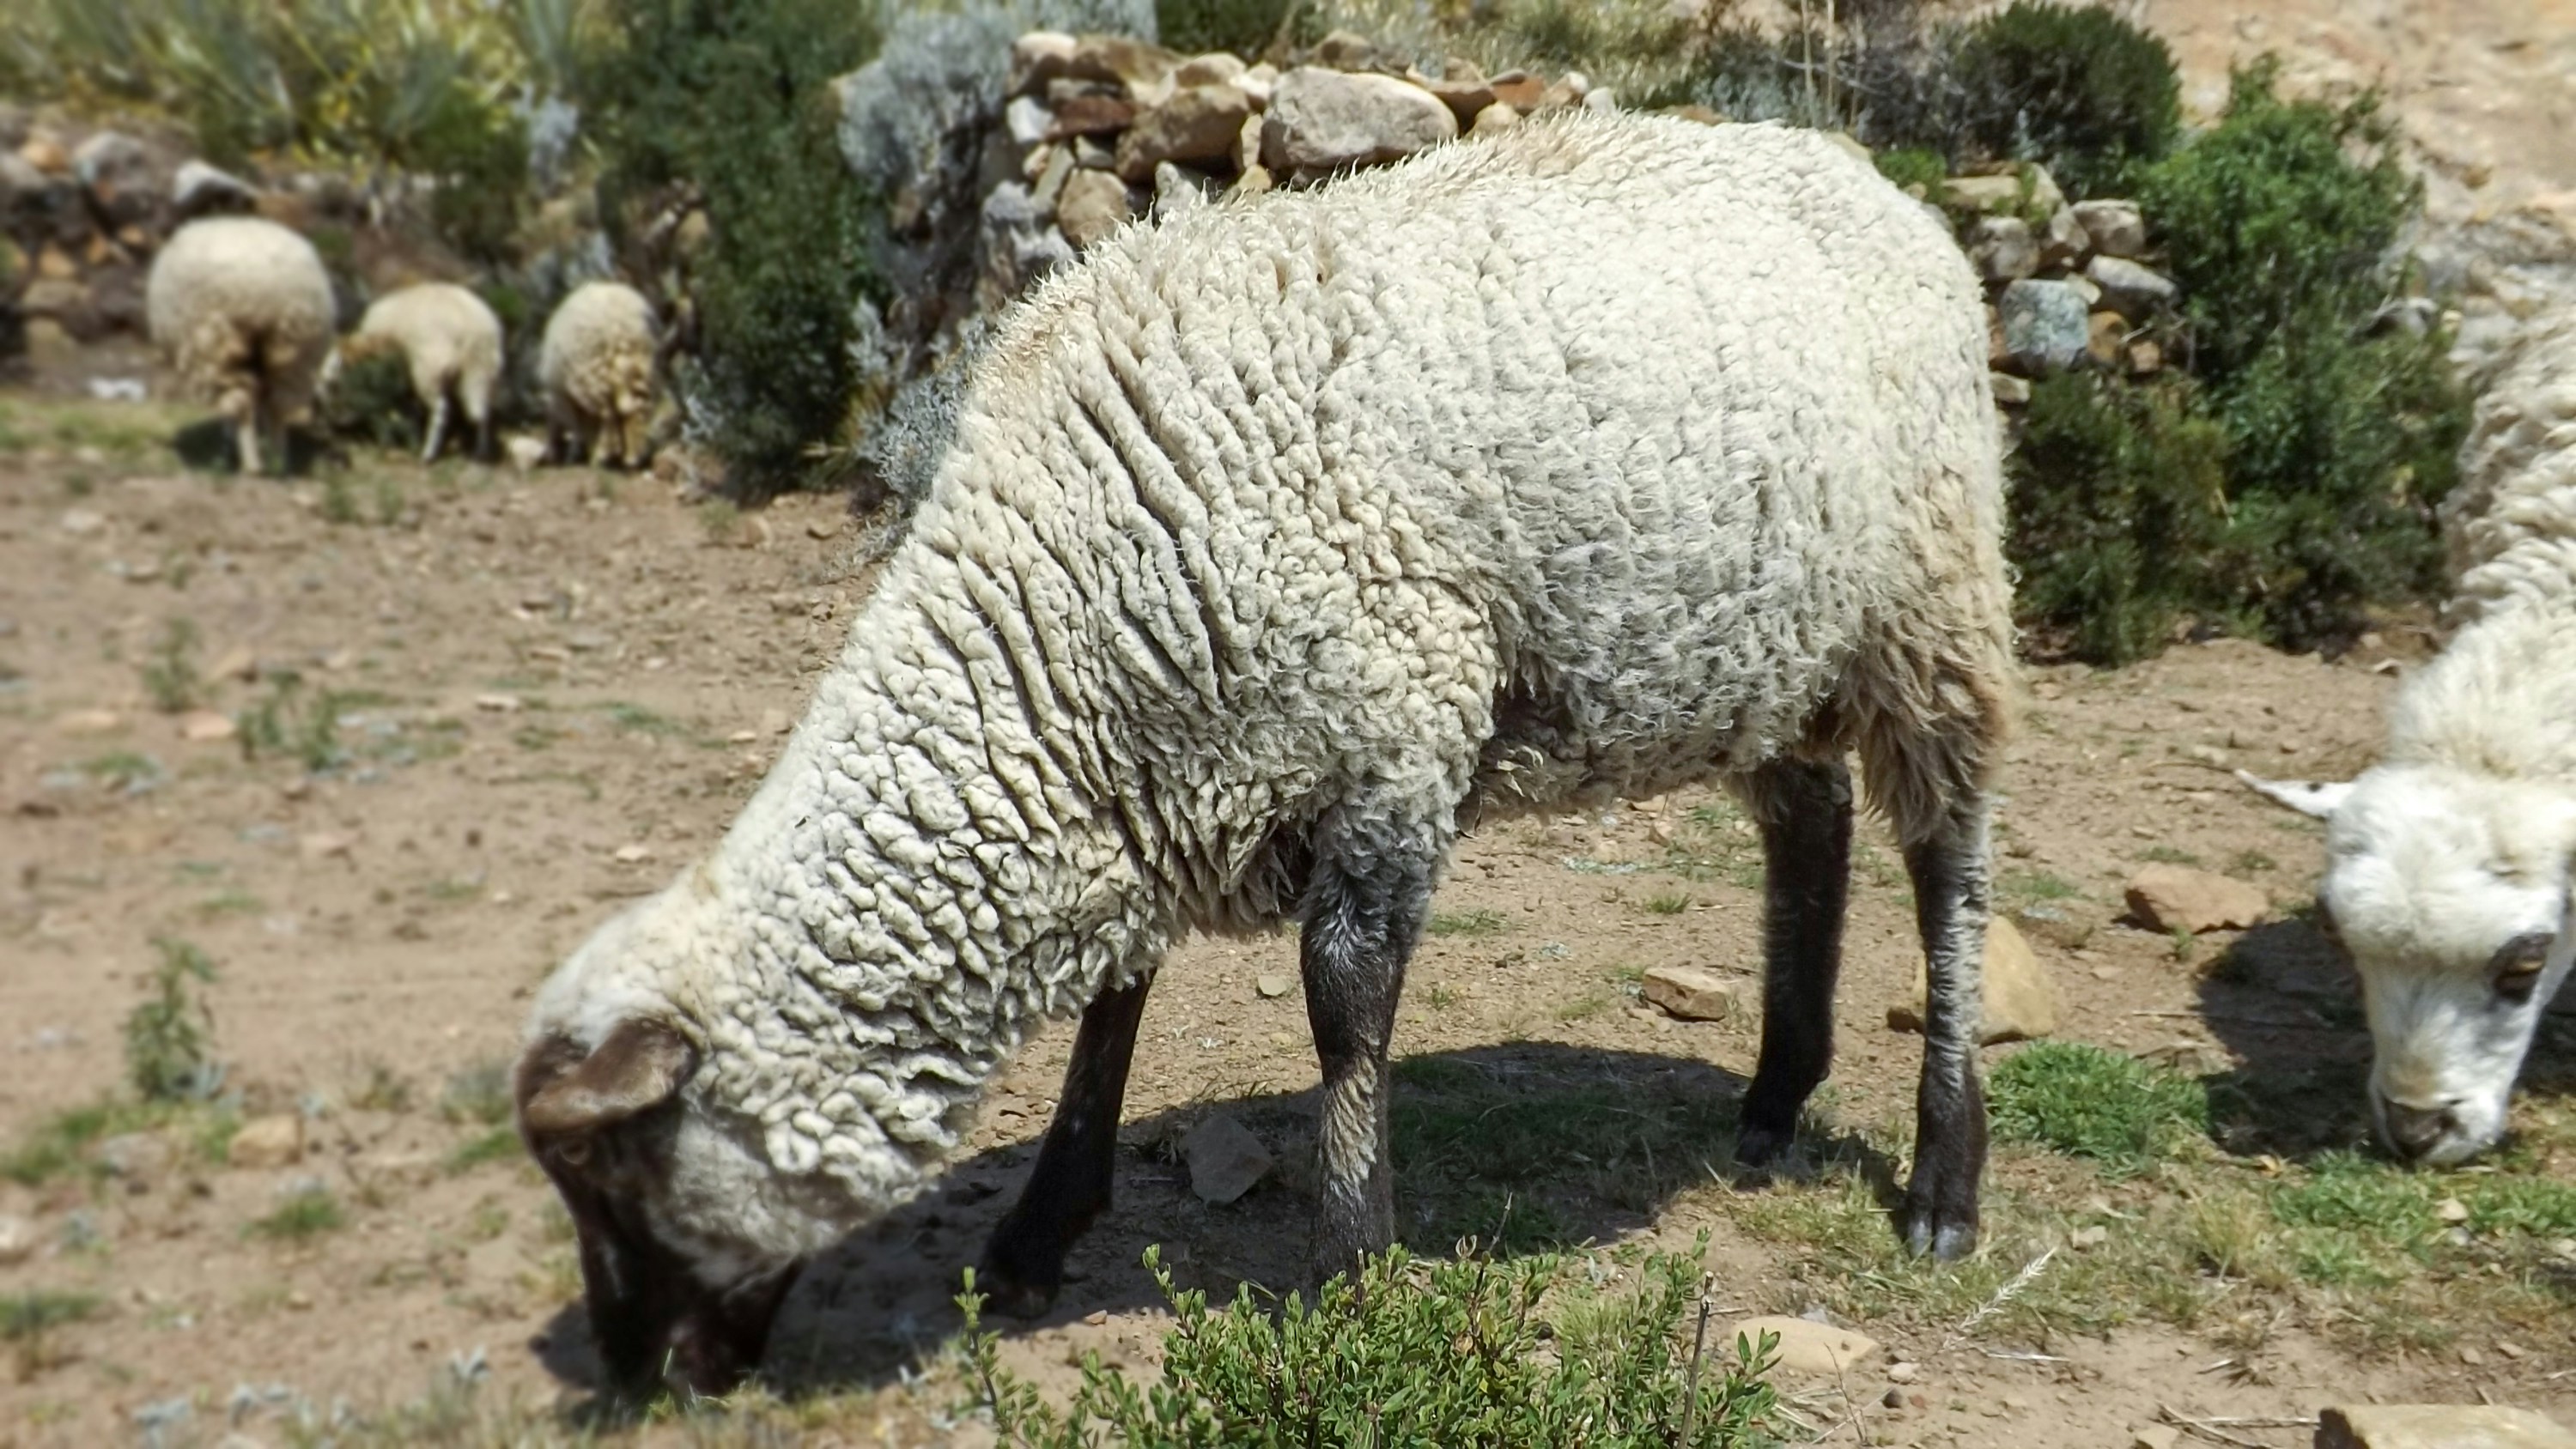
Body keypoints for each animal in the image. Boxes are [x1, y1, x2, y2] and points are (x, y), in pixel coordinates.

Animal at [145, 216, 337, 476]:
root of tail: (259, 289)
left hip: (214, 344)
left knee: (241, 403)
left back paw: (251, 464)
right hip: (295, 343)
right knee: (278, 404)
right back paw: (278, 461)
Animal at [321, 282, 505, 465]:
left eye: (330, 377)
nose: (323, 406)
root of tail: (473, 329)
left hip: (429, 368)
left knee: (441, 411)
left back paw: (428, 453)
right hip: (484, 370)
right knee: (482, 412)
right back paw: (480, 452)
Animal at [538, 280, 658, 469]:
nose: (552, 456)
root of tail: (620, 325)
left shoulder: (570, 403)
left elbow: (587, 426)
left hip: (593, 375)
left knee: (606, 416)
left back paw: (600, 457)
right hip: (640, 368)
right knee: (635, 411)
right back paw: (633, 457)